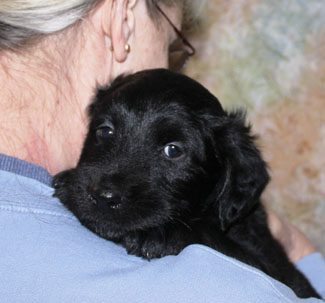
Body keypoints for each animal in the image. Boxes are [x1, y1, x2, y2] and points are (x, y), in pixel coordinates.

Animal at [53, 69, 318, 300]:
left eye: (173, 150)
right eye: (105, 131)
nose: (103, 196)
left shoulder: (272, 266)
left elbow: (208, 234)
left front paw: (158, 233)